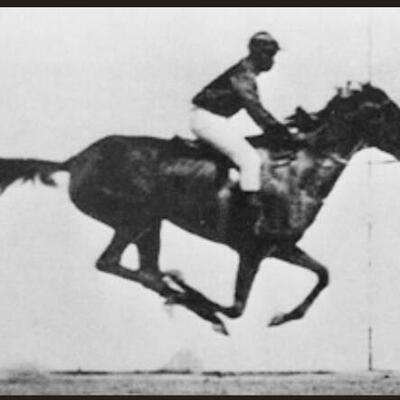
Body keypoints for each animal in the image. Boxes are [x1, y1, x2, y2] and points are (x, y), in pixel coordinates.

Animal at [0, 83, 399, 335]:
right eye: (389, 112)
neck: (298, 170)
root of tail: (75, 160)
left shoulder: (280, 246)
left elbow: (323, 274)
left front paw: (282, 317)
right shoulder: (252, 249)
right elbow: (236, 307)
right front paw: (199, 298)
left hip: (151, 224)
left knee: (145, 272)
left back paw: (178, 292)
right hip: (136, 217)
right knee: (114, 263)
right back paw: (185, 296)